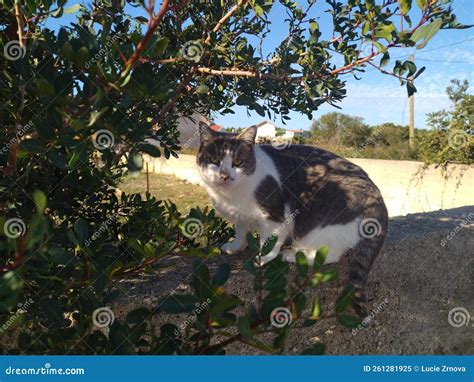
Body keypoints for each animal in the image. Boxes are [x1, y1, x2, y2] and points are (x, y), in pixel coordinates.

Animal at [196, 122, 388, 316]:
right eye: (214, 160)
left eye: (237, 162)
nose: (224, 175)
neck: (231, 196)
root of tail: (380, 208)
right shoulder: (240, 216)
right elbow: (241, 231)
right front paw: (235, 246)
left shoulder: (274, 217)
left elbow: (270, 241)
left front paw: (263, 257)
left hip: (320, 227)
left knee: (330, 255)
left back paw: (292, 254)